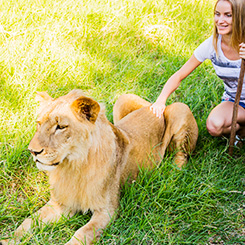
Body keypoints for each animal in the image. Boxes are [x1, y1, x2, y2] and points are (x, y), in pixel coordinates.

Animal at [0, 90, 198, 245]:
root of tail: (156, 106)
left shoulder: (107, 211)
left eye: (61, 127)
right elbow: (28, 221)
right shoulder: (60, 204)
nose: (33, 151)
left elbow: (82, 234)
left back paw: (172, 173)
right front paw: (8, 239)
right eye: (39, 124)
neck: (73, 166)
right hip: (122, 100)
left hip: (180, 110)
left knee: (181, 155)